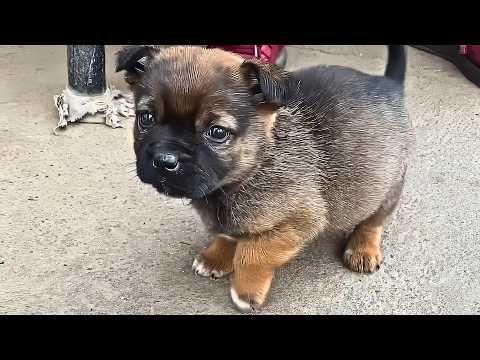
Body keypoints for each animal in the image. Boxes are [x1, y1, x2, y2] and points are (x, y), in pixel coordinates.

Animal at [116, 45, 412, 312]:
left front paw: (245, 292)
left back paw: (363, 248)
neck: (253, 166)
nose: (164, 160)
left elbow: (252, 255)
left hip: (387, 185)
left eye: (217, 132)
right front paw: (217, 257)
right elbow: (228, 235)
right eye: (145, 118)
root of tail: (389, 84)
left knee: (374, 221)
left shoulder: (299, 222)